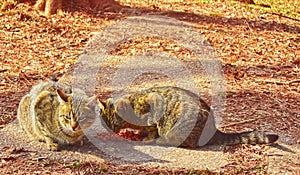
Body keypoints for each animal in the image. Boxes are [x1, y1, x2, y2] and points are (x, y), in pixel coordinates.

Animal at [99, 86, 278, 148]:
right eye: (106, 124)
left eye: (115, 124)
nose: (112, 131)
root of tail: (215, 130)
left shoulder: (154, 108)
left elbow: (151, 130)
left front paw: (145, 137)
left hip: (179, 126)